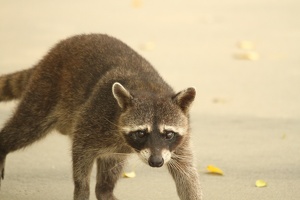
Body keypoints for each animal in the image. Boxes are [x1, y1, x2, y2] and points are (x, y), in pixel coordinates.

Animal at [0, 33, 203, 199]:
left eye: (168, 134)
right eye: (141, 133)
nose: (156, 162)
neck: (149, 89)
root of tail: (53, 52)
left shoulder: (181, 138)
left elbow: (186, 175)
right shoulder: (94, 118)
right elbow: (81, 152)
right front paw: (81, 189)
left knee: (109, 169)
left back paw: (105, 191)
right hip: (46, 89)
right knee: (26, 126)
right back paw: (4, 143)